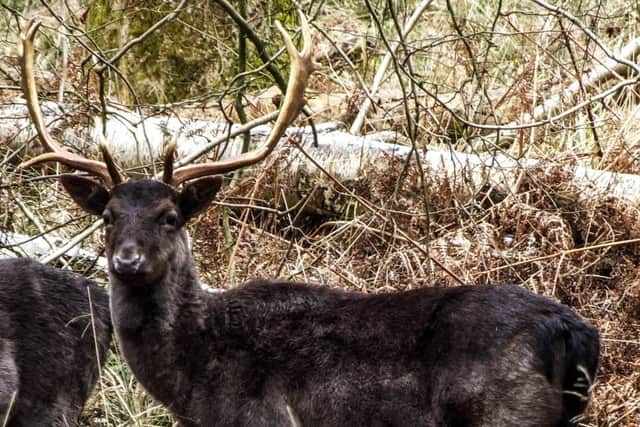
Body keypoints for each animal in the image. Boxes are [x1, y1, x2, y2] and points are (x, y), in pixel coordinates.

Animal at [18, 14, 599, 427]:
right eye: (108, 215)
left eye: (170, 216)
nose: (127, 259)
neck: (195, 379)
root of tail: (576, 332)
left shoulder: (261, 418)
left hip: (505, 411)